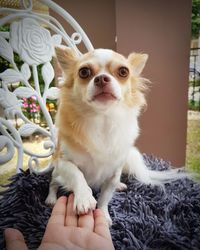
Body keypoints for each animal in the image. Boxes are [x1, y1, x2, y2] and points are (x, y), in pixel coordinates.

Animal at [45, 47, 184, 225]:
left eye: (123, 72)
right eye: (84, 72)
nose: (102, 79)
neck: (103, 120)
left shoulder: (114, 172)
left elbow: (105, 197)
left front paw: (103, 214)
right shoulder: (62, 161)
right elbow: (77, 174)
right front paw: (84, 198)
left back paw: (119, 185)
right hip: (57, 172)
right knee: (53, 182)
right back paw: (51, 198)